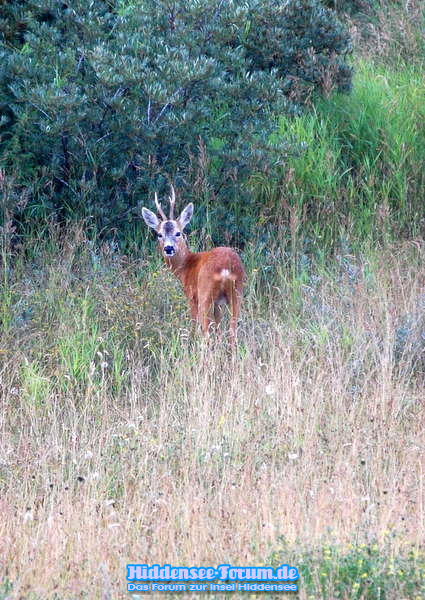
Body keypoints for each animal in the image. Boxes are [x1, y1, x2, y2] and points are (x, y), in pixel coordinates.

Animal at [141, 185, 243, 340]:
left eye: (178, 233)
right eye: (159, 234)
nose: (168, 248)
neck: (186, 266)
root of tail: (226, 266)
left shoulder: (191, 296)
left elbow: (195, 326)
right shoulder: (218, 304)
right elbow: (219, 329)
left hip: (205, 295)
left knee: (206, 332)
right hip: (237, 293)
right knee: (233, 331)